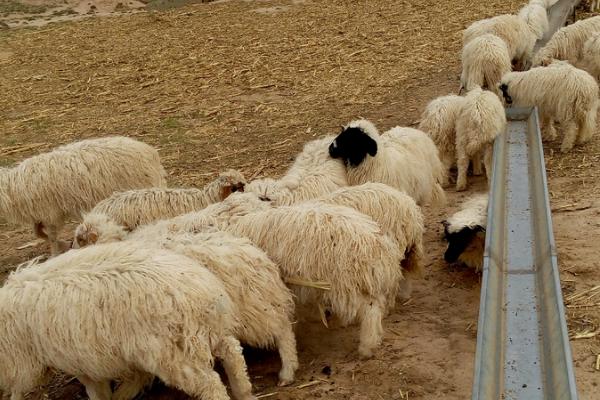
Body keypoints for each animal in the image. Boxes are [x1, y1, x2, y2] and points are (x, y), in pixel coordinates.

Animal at [0, 136, 166, 255]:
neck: (11, 188)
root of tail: (151, 152)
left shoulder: (50, 213)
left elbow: (51, 236)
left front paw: (56, 252)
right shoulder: (43, 215)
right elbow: (38, 232)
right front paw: (63, 244)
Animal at [0, 241, 255, 400]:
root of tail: (200, 292)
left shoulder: (54, 359)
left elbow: (94, 390)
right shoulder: (81, 358)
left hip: (172, 353)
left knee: (210, 383)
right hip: (208, 332)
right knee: (233, 353)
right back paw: (244, 392)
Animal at [227, 202, 406, 358]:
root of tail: (380, 247)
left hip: (346, 284)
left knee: (370, 311)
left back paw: (367, 347)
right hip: (365, 282)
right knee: (376, 306)